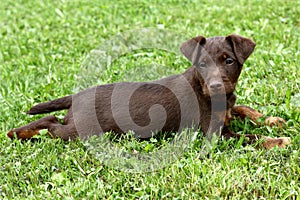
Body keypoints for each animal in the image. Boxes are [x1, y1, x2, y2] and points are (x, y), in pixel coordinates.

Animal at [7, 34, 290, 149]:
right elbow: (250, 137)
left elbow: (244, 108)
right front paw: (277, 141)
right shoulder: (216, 134)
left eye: (228, 61)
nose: (216, 86)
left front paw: (271, 120)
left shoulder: (229, 108)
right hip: (81, 131)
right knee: (51, 123)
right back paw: (19, 132)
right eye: (202, 64)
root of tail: (77, 96)